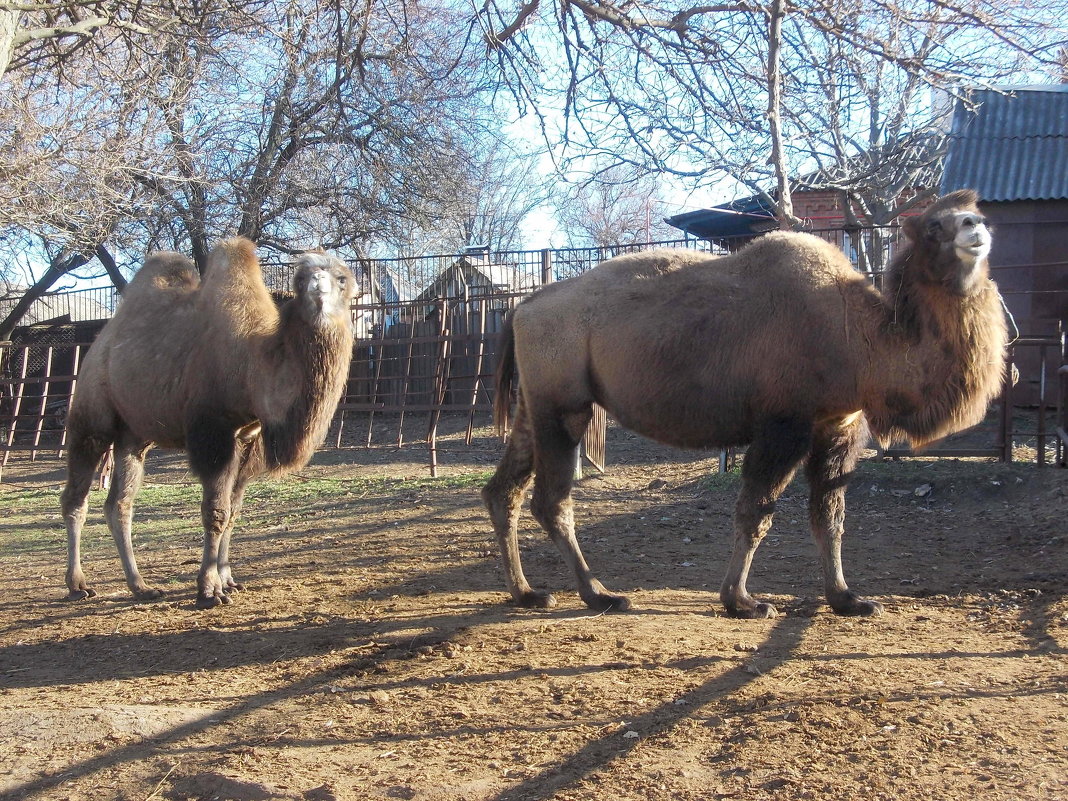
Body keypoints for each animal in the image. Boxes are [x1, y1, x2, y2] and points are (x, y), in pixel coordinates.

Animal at [61, 237, 354, 606]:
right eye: (300, 280)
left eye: (342, 277)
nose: (317, 286)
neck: (251, 365)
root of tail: (101, 340)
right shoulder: (213, 431)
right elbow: (216, 512)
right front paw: (209, 590)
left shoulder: (247, 438)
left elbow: (233, 511)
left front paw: (228, 580)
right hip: (92, 415)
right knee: (76, 498)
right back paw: (78, 584)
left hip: (133, 435)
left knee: (119, 505)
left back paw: (140, 585)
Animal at [484, 193, 1008, 619]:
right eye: (935, 226)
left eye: (976, 214)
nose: (975, 229)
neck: (860, 340)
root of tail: (522, 308)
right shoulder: (784, 425)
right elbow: (757, 510)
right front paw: (741, 601)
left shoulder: (838, 426)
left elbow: (830, 515)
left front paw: (846, 598)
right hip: (563, 404)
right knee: (551, 500)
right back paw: (600, 595)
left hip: (533, 403)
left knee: (502, 491)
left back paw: (526, 592)